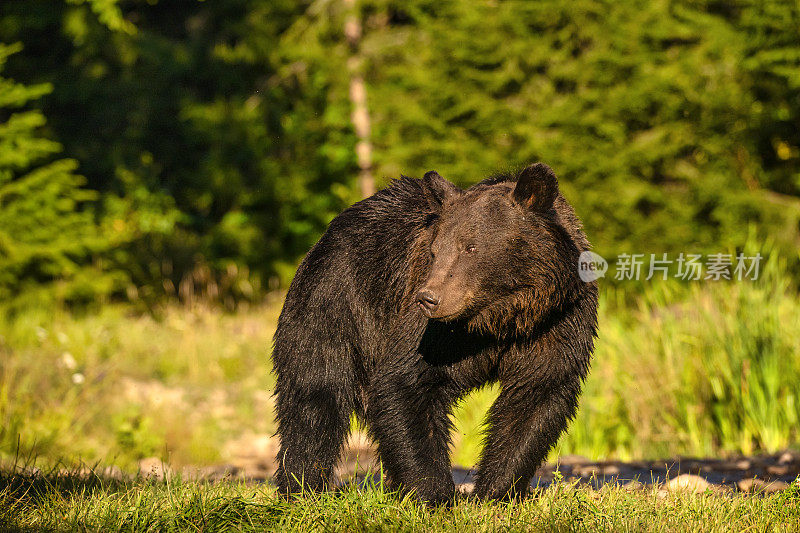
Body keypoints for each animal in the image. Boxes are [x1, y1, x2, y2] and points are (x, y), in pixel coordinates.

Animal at [272, 162, 596, 502]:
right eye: (435, 249)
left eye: (471, 246)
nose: (429, 297)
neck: (503, 318)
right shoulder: (435, 333)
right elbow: (408, 383)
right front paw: (434, 493)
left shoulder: (558, 322)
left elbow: (536, 398)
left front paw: (496, 491)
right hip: (334, 301)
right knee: (315, 394)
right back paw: (303, 487)